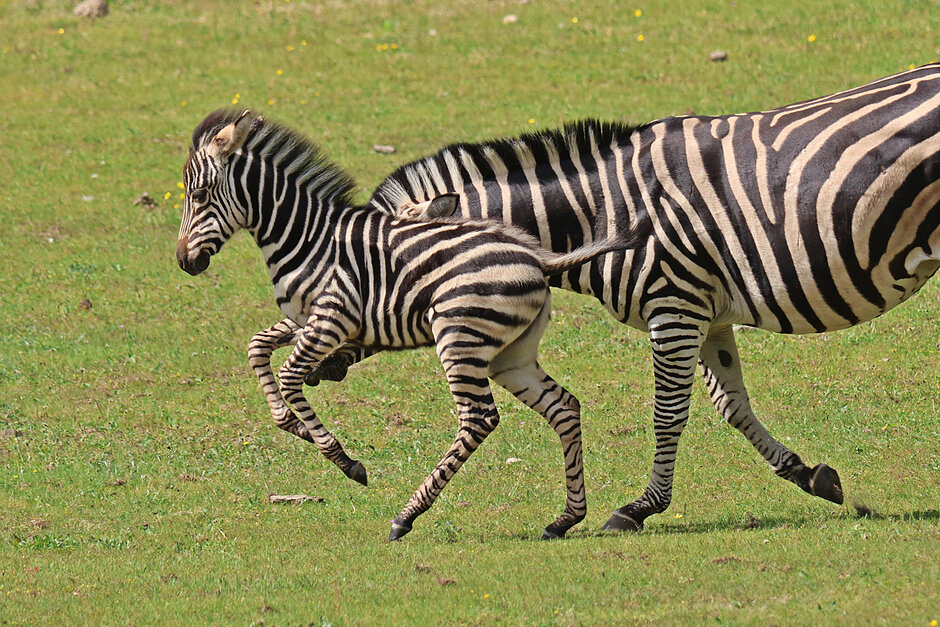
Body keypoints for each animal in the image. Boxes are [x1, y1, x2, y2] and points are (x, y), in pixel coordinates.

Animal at [175, 109, 650, 540]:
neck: (307, 237)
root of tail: (538, 258)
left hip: (459, 338)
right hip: (511, 354)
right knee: (563, 406)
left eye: (198, 197)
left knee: (478, 418)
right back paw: (564, 519)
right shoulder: (308, 318)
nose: (184, 262)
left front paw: (344, 459)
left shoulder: (332, 318)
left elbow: (289, 375)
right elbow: (256, 347)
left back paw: (406, 516)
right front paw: (294, 426)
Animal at [353, 62, 940, 532]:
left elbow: (668, 411)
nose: (327, 364)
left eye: (372, 271)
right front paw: (811, 475)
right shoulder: (708, 313)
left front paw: (639, 508)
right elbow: (731, 404)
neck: (605, 211)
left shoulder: (674, 306)